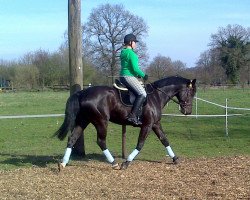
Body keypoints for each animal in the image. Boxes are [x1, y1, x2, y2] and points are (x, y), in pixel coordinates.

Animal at [55, 75, 197, 170]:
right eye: (191, 93)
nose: (188, 111)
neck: (156, 96)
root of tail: (82, 93)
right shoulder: (147, 125)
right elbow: (140, 144)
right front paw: (126, 162)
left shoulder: (155, 124)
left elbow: (164, 140)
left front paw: (175, 159)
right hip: (101, 121)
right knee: (101, 141)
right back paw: (114, 163)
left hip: (83, 121)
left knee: (72, 138)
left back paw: (63, 163)